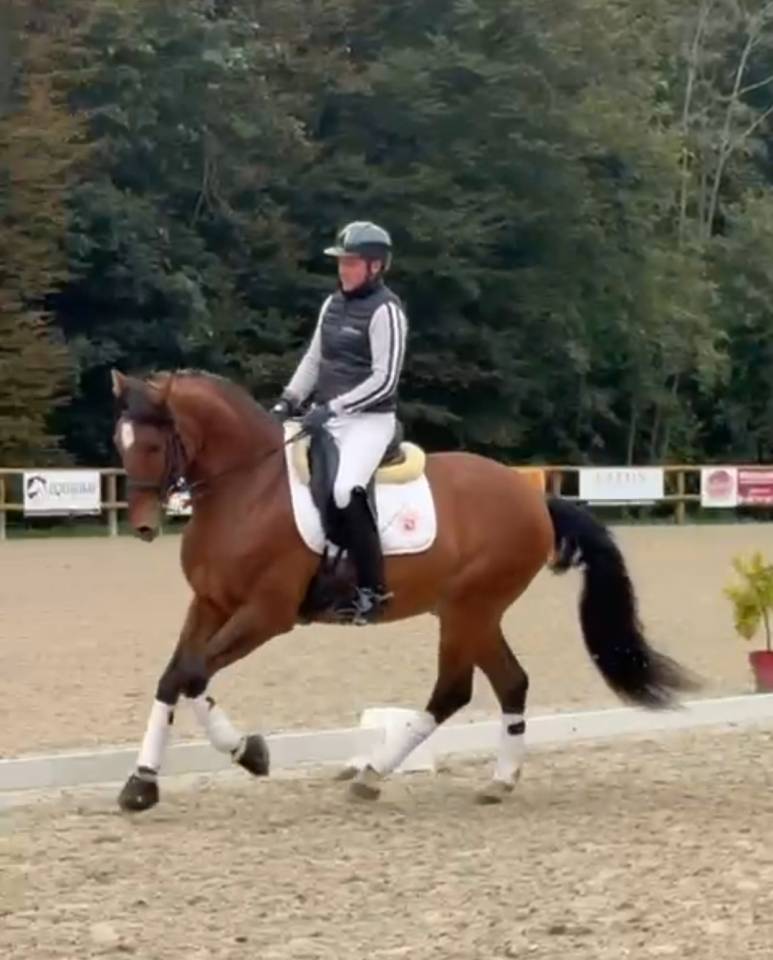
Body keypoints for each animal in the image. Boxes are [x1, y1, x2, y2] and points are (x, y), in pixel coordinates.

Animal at [110, 367, 698, 811]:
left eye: (155, 443)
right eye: (121, 441)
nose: (142, 526)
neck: (247, 489)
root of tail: (532, 498)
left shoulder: (266, 614)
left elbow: (193, 673)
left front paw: (248, 754)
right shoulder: (211, 603)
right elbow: (177, 676)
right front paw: (144, 782)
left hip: (469, 609)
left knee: (455, 690)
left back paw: (374, 773)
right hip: (470, 613)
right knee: (508, 683)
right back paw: (494, 780)